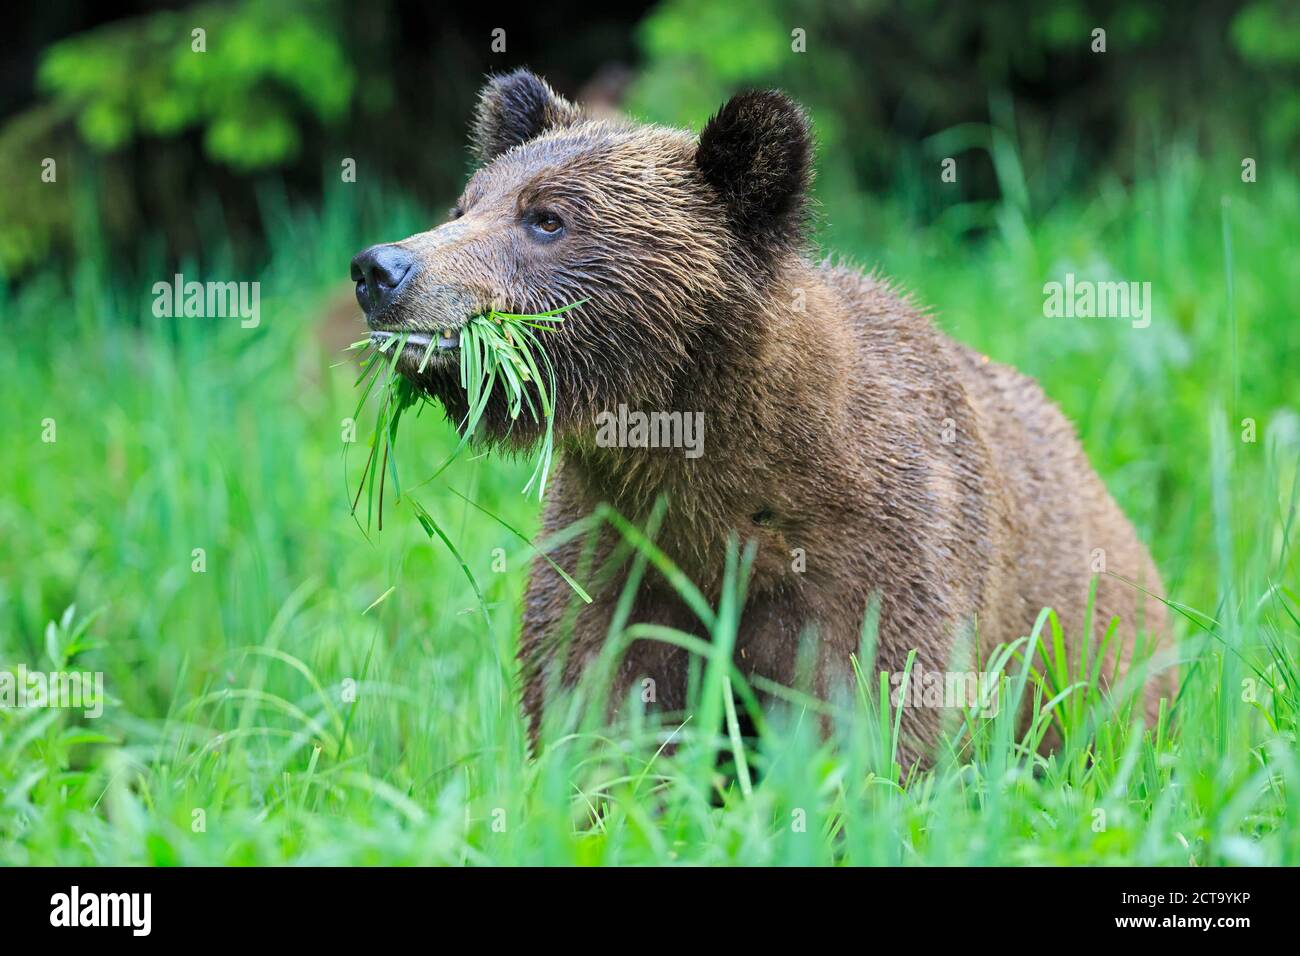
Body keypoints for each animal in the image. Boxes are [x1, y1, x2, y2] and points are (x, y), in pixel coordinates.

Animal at [351, 69, 1175, 764]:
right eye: (463, 205)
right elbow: (594, 700)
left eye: (547, 217)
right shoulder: (619, 549)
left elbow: (879, 708)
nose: (381, 269)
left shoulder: (879, 551)